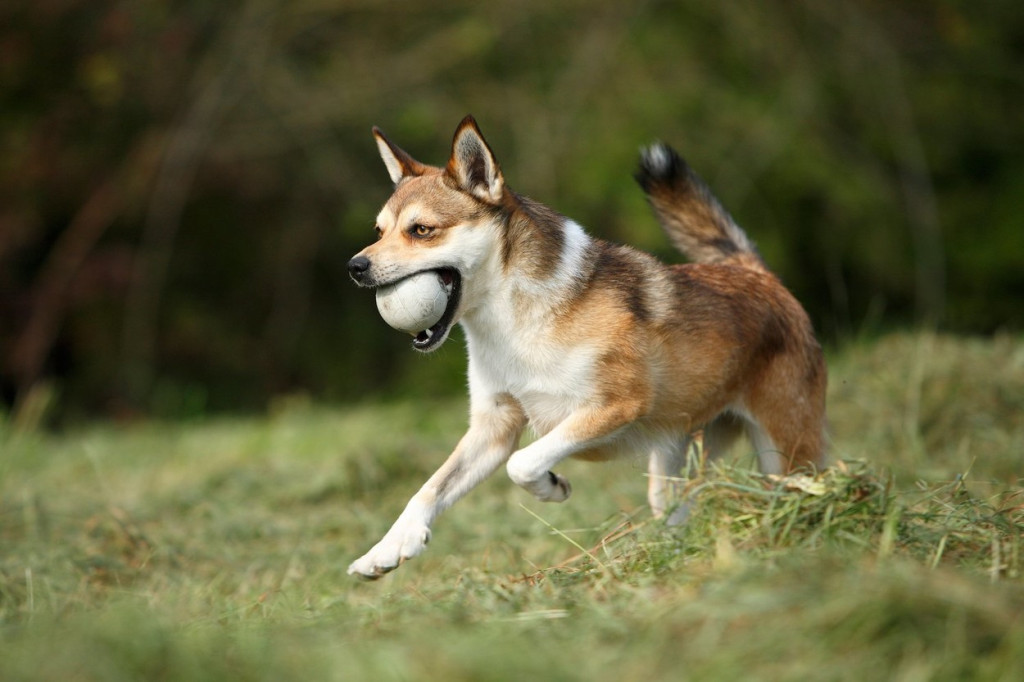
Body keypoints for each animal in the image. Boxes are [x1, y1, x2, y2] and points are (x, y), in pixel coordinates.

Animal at [344, 115, 823, 573]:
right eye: (379, 231)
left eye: (422, 230)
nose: (354, 266)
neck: (516, 321)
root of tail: (756, 273)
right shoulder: (493, 428)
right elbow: (428, 489)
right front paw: (388, 549)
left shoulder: (613, 407)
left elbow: (523, 463)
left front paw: (551, 487)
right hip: (673, 467)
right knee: (677, 510)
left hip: (787, 452)